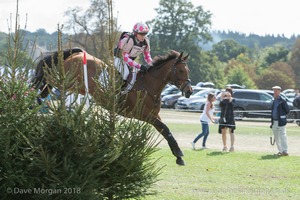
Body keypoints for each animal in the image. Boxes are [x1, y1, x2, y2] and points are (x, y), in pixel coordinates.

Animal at [31, 47, 193, 165]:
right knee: (46, 81)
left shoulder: (154, 115)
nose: (189, 91)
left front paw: (178, 156)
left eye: (188, 71)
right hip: (64, 79)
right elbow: (165, 128)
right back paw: (36, 101)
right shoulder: (144, 115)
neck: (149, 85)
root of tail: (78, 53)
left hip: (77, 86)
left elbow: (165, 131)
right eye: (180, 70)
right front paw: (179, 153)